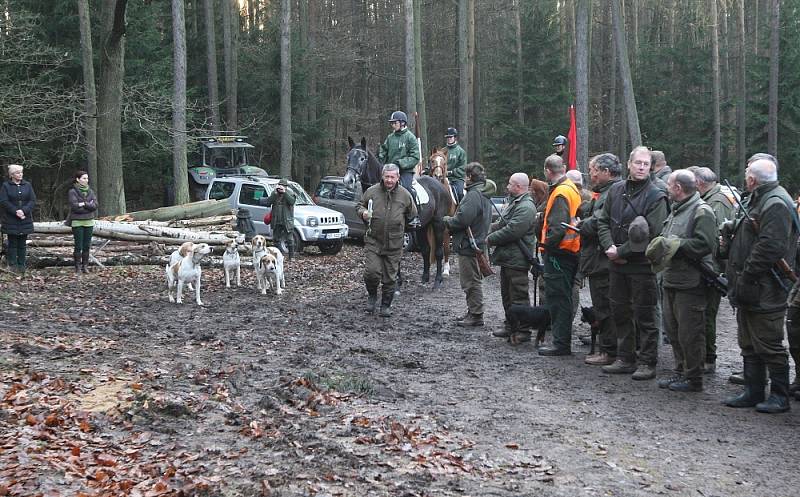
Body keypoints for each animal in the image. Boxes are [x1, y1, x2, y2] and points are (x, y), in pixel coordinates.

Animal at [344, 137, 454, 290]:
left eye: (362, 158)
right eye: (348, 157)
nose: (348, 180)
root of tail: (440, 185)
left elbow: (396, 256)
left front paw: (395, 283)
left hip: (438, 224)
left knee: (438, 251)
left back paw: (438, 281)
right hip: (423, 227)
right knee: (426, 250)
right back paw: (425, 278)